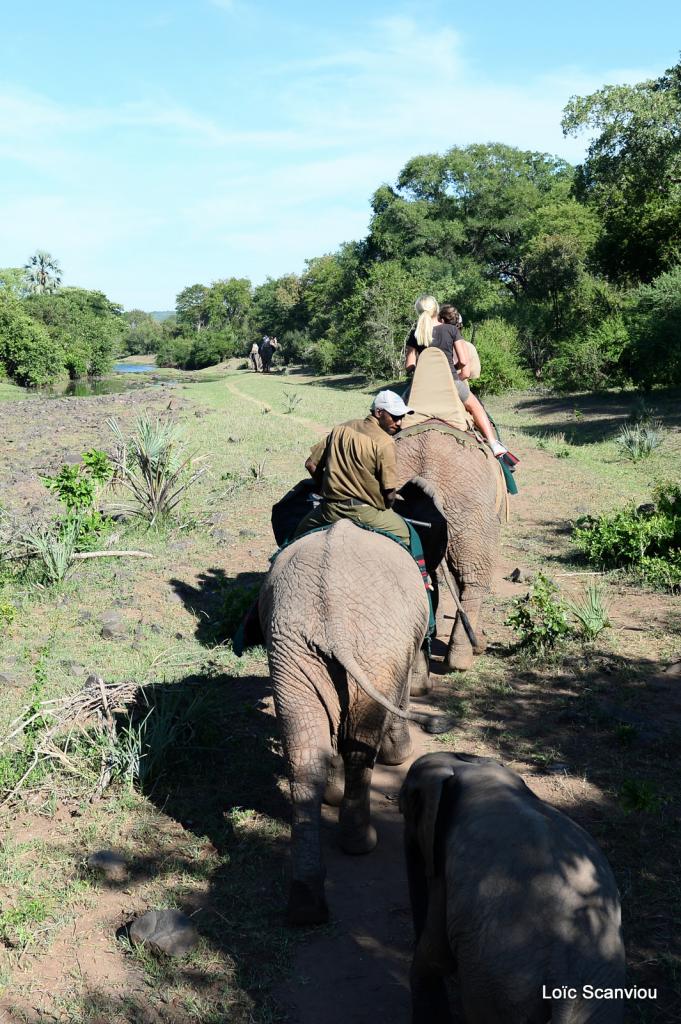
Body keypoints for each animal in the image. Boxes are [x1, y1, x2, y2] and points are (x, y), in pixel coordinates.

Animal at [258, 520, 448, 929]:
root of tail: (333, 620)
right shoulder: (402, 647)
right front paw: (399, 755)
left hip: (294, 651)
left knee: (305, 753)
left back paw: (306, 905)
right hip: (376, 646)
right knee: (361, 743)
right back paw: (360, 844)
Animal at [399, 753, 626, 1024]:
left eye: (405, 806)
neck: (472, 768)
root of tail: (564, 981)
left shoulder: (443, 868)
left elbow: (436, 953)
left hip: (497, 987)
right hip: (596, 999)